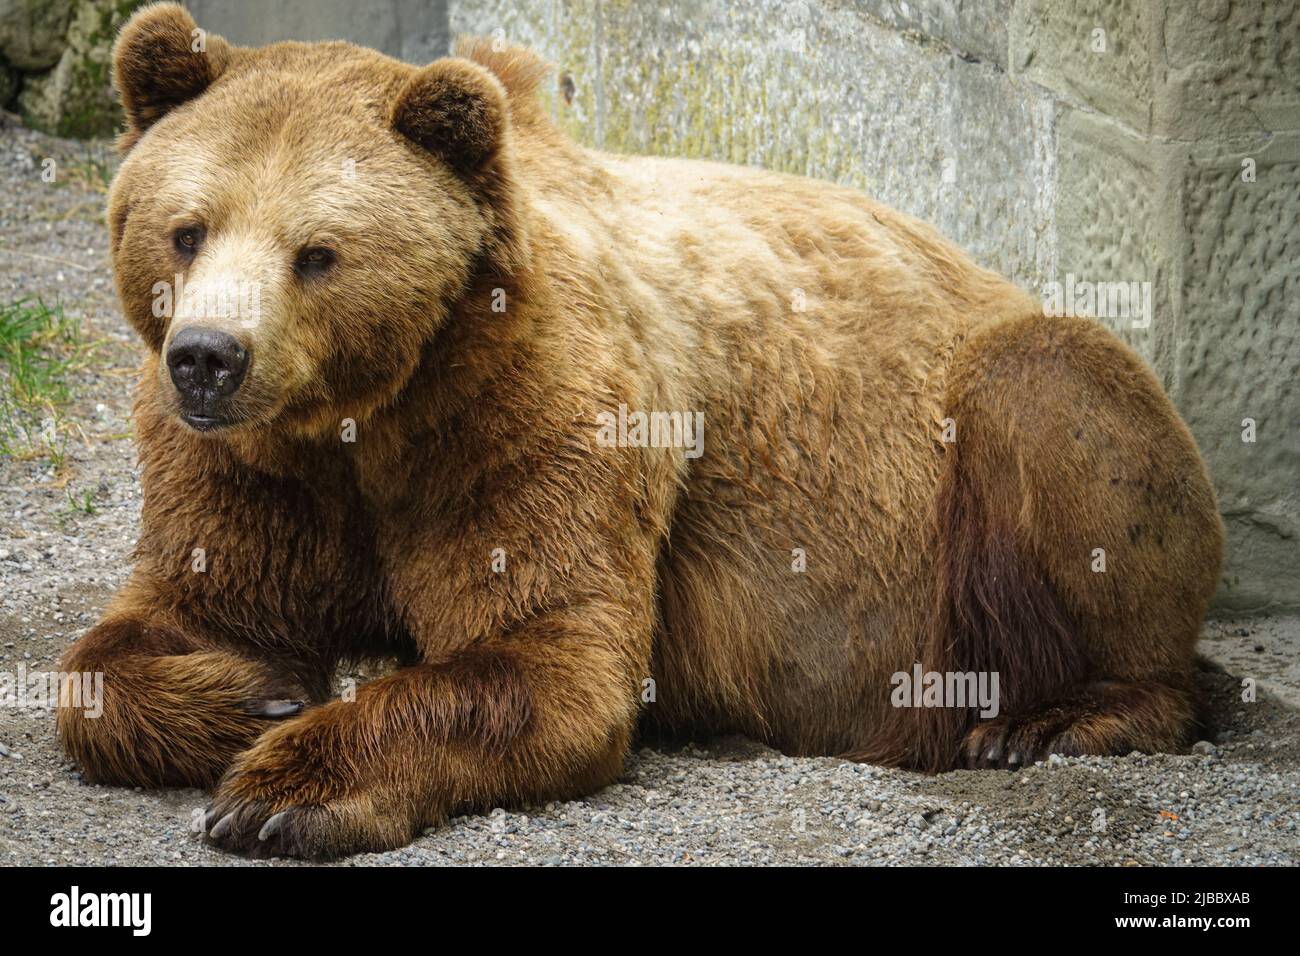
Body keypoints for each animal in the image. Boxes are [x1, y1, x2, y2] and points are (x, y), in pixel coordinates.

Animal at [55, 3, 1222, 858]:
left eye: (317, 252)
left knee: (1060, 399)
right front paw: (252, 691)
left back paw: (1052, 716)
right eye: (186, 228)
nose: (209, 355)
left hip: (956, 497)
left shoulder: (533, 412)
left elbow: (547, 655)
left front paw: (282, 787)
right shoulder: (245, 464)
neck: (365, 414)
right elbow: (163, 626)